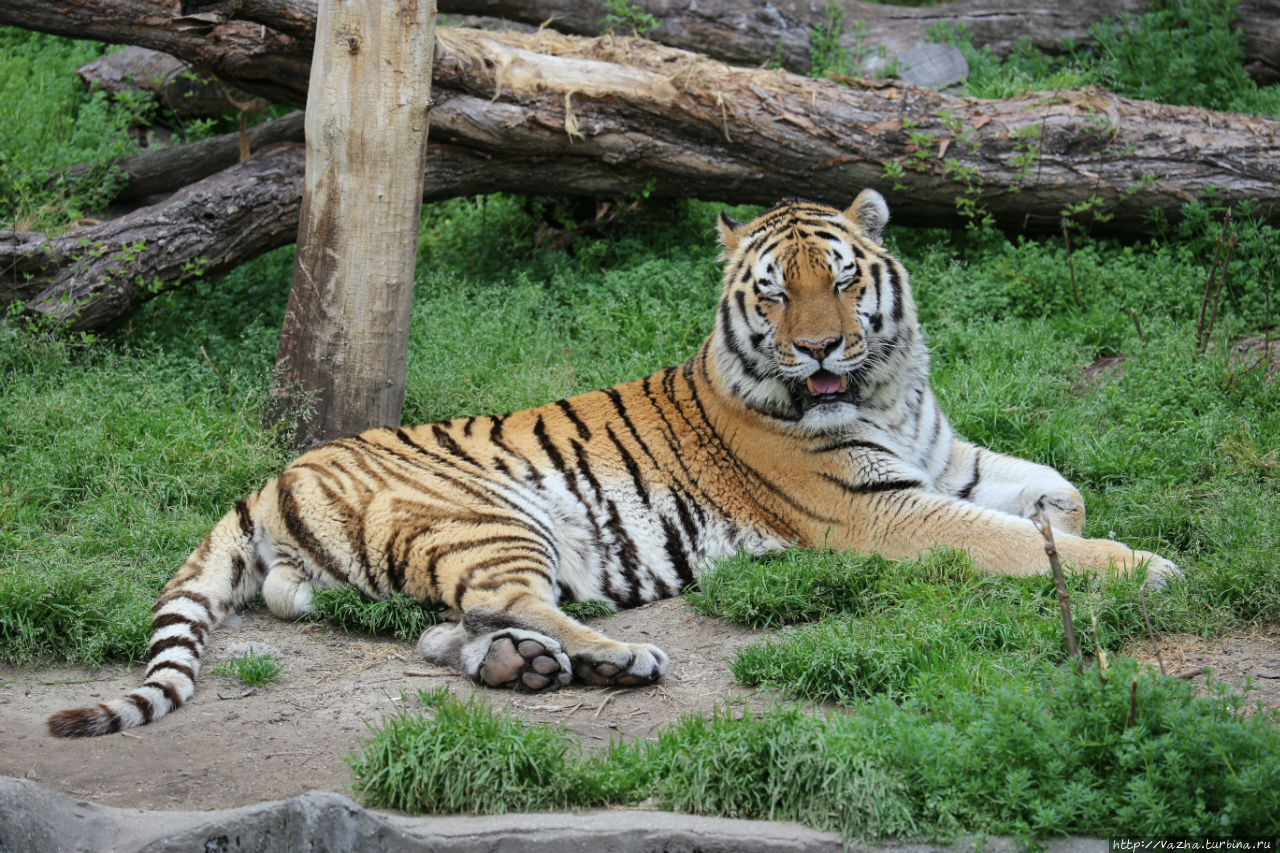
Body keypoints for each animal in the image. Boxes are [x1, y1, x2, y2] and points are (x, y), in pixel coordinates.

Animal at [49, 189, 1172, 732]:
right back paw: (616, 659)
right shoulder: (883, 506)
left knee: (454, 627)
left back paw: (527, 669)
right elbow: (1013, 541)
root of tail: (270, 478)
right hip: (490, 516)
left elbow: (1056, 494)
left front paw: (1070, 527)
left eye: (845, 279)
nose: (817, 348)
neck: (885, 385)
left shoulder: (943, 462)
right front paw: (1144, 568)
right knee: (510, 601)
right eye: (775, 292)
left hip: (392, 575)